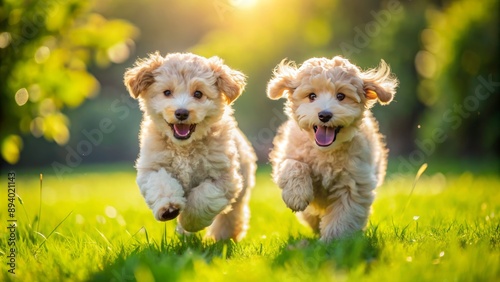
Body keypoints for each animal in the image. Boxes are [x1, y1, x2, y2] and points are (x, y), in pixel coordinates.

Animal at [124, 51, 256, 241]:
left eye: (198, 94)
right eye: (167, 92)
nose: (181, 113)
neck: (184, 148)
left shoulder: (224, 178)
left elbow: (202, 198)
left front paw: (189, 221)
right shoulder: (152, 167)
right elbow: (161, 183)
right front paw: (169, 208)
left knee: (231, 216)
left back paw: (223, 237)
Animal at [266, 56, 398, 241]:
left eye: (341, 96)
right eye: (311, 96)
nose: (324, 115)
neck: (325, 152)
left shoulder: (355, 182)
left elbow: (344, 214)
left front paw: (333, 241)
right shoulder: (286, 156)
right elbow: (294, 165)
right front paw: (296, 195)